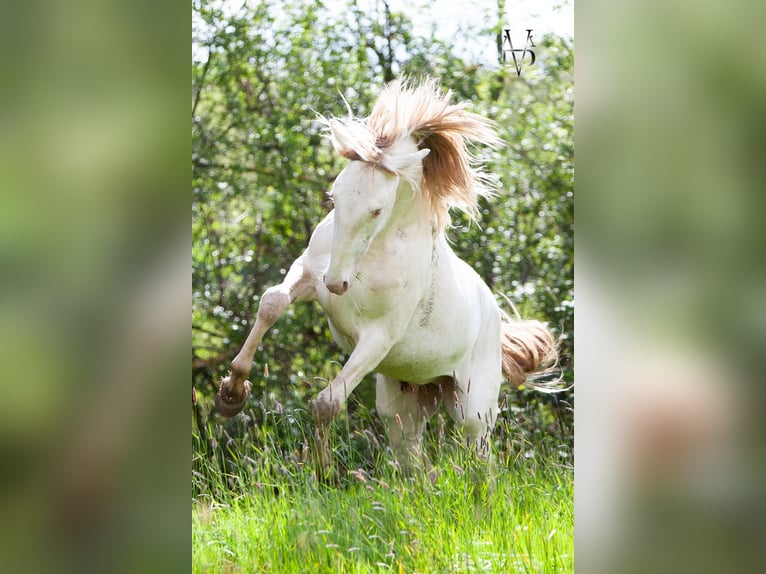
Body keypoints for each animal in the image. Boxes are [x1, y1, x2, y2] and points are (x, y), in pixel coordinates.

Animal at [216, 77, 560, 464]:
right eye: (334, 196)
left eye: (377, 209)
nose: (336, 283)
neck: (368, 257)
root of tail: (495, 318)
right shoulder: (306, 274)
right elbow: (272, 302)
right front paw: (231, 395)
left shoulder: (379, 337)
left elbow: (327, 403)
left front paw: (321, 469)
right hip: (402, 409)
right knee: (416, 465)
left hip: (472, 411)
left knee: (480, 459)